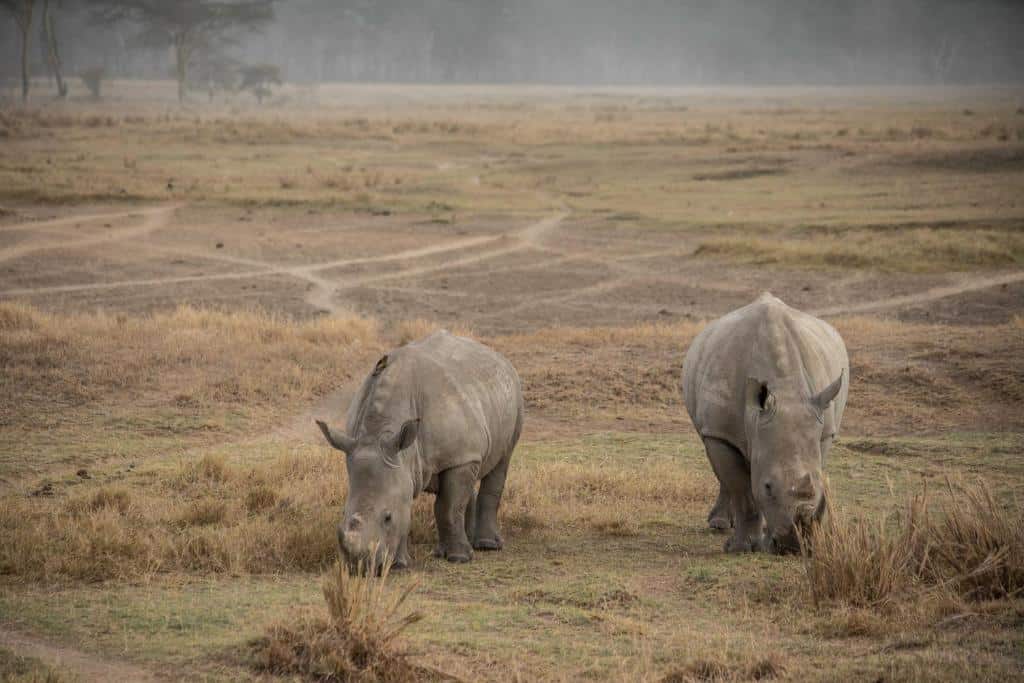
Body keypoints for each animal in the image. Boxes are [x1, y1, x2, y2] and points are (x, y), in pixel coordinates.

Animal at [315, 330, 523, 572]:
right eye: (343, 514)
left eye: (387, 517)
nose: (361, 568)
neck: (378, 435)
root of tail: (500, 357)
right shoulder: (399, 461)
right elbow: (414, 507)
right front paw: (400, 564)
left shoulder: (459, 457)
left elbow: (448, 507)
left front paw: (459, 558)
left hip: (514, 394)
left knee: (501, 461)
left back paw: (486, 546)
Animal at [681, 293, 848, 554]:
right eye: (768, 487)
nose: (792, 547)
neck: (785, 389)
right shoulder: (720, 432)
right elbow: (741, 488)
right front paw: (742, 548)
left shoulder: (823, 429)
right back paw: (719, 524)